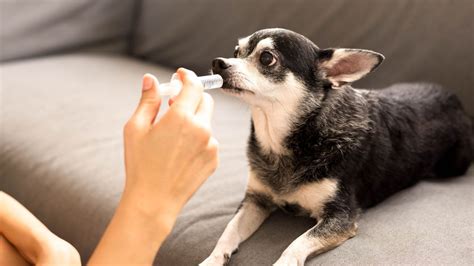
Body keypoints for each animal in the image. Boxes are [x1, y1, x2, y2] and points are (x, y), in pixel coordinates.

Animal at [201, 28, 474, 264]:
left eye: (267, 58)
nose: (218, 62)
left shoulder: (340, 217)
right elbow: (229, 231)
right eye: (236, 51)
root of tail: (456, 101)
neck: (286, 142)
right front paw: (212, 259)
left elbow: (296, 244)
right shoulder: (256, 200)